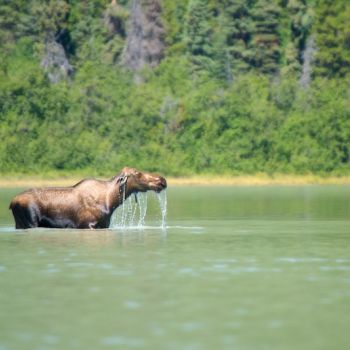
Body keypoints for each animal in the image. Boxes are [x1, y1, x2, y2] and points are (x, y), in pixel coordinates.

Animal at [8, 167, 167, 230]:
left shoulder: (104, 225)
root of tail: (11, 203)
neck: (111, 201)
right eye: (137, 173)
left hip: (19, 223)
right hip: (30, 221)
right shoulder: (87, 224)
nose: (162, 180)